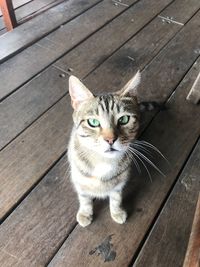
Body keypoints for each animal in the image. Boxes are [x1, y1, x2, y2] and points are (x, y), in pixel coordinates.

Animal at [67, 71, 144, 228]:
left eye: (124, 120)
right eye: (93, 122)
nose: (110, 140)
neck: (103, 161)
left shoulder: (119, 183)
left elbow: (116, 198)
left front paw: (117, 212)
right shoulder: (79, 180)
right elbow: (84, 198)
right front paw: (85, 213)